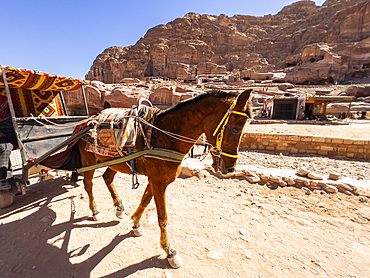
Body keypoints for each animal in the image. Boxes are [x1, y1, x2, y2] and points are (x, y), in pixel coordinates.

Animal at [77, 88, 251, 268]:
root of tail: (88, 120)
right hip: (89, 160)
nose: (230, 168)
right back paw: (95, 210)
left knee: (107, 178)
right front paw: (170, 251)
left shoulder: (155, 180)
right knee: (88, 184)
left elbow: (145, 202)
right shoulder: (158, 182)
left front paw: (136, 224)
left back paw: (119, 207)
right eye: (235, 129)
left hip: (115, 163)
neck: (165, 136)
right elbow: (163, 218)